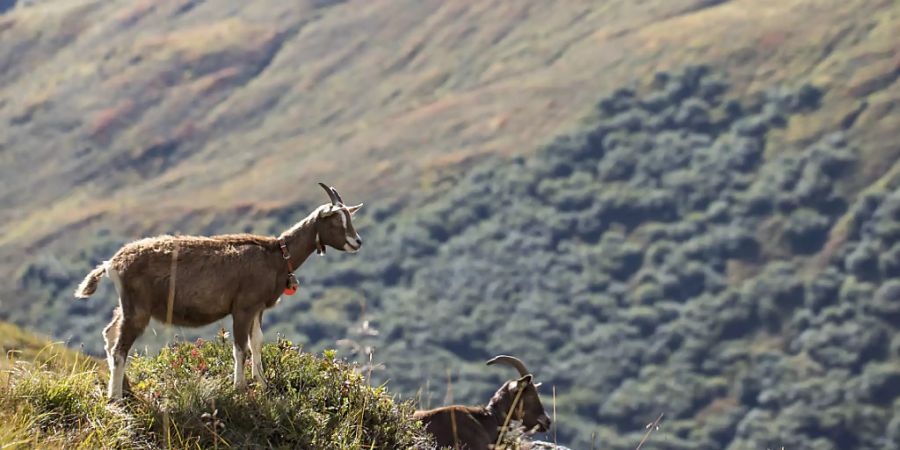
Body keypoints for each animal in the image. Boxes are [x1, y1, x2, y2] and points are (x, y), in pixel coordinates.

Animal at [74, 183, 362, 400]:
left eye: (349, 217)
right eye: (335, 220)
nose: (357, 242)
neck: (277, 255)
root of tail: (112, 263)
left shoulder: (257, 308)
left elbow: (256, 343)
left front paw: (263, 383)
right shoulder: (242, 307)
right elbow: (240, 347)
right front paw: (240, 387)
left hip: (126, 305)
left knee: (109, 334)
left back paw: (125, 389)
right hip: (138, 309)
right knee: (119, 348)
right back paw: (116, 397)